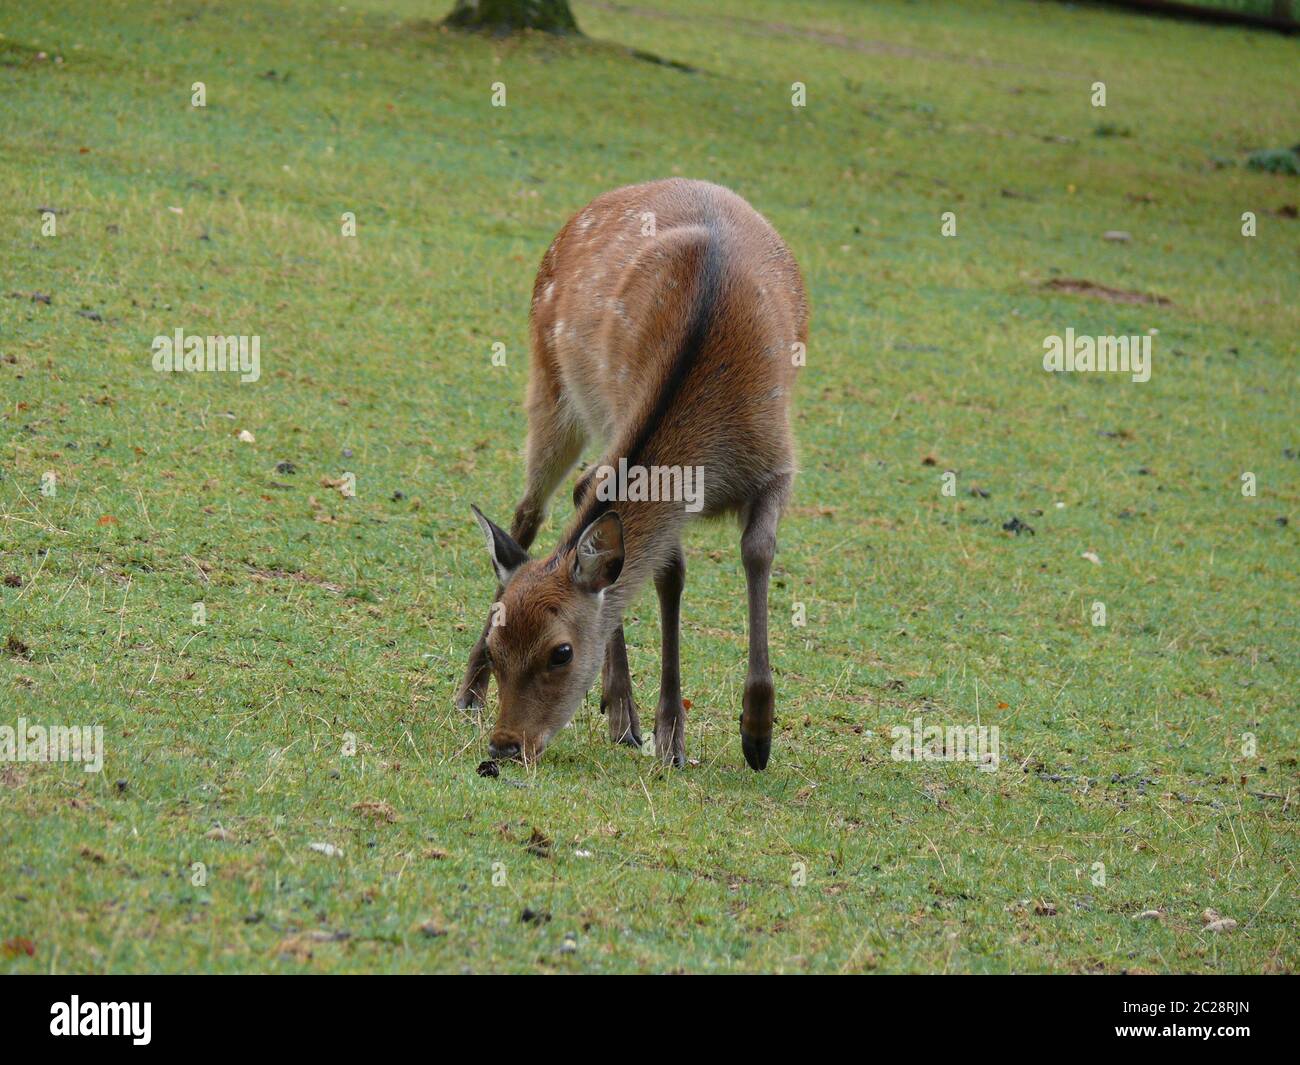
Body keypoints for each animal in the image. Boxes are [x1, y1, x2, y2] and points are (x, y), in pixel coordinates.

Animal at [452, 179, 806, 769]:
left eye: (561, 653)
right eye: (501, 651)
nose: (505, 745)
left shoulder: (777, 461)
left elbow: (756, 552)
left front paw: (756, 734)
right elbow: (668, 571)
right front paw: (668, 734)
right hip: (554, 384)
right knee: (532, 511)